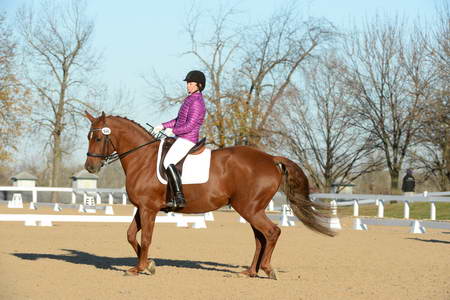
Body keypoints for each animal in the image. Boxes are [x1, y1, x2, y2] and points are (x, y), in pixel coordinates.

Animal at [84, 112, 336, 278]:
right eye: (88, 137)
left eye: (98, 138)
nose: (90, 167)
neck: (142, 158)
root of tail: (271, 158)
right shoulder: (142, 207)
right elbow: (130, 235)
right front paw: (148, 264)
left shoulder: (149, 208)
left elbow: (145, 238)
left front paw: (141, 267)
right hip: (252, 209)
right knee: (260, 237)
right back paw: (249, 271)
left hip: (250, 208)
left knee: (272, 232)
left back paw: (266, 269)